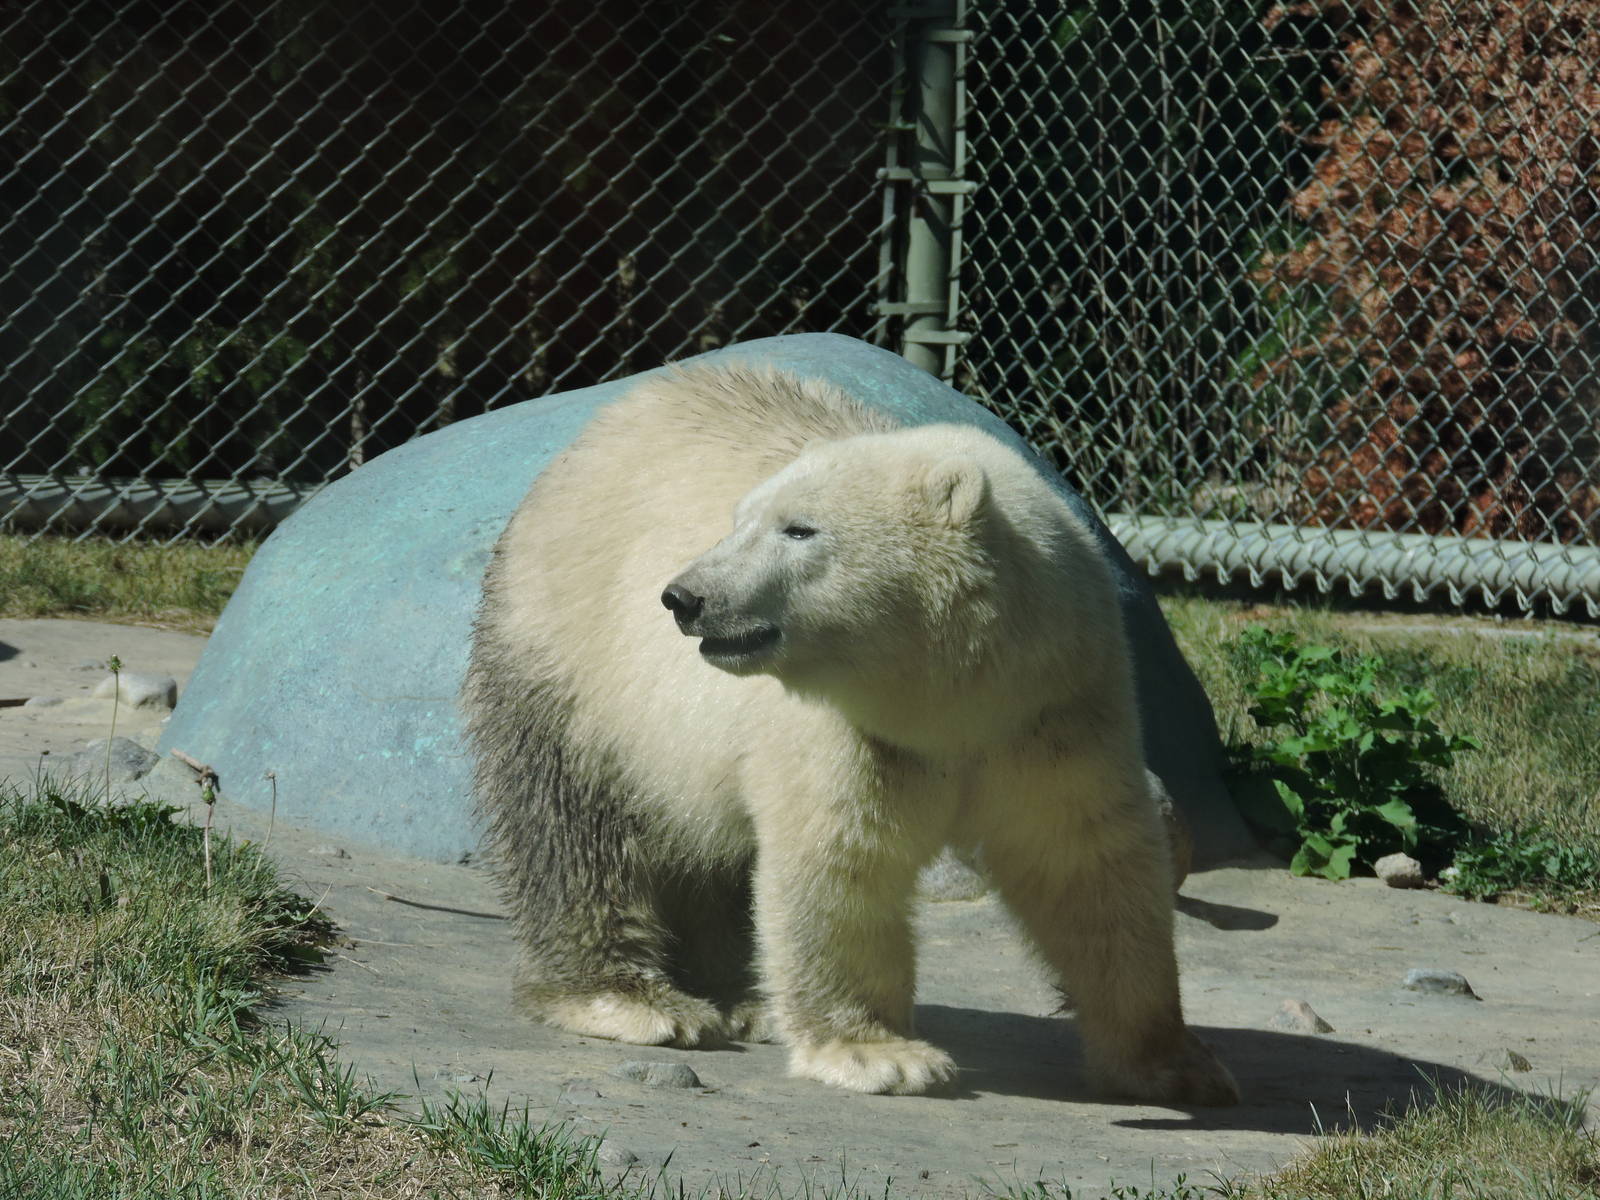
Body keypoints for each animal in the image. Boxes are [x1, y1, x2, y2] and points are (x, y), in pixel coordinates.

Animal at [463, 363, 1238, 1104]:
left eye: (799, 529)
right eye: (739, 521)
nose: (686, 597)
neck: (954, 698)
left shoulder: (1056, 711)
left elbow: (1088, 868)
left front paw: (1176, 1066)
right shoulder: (849, 727)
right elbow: (842, 863)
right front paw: (879, 1055)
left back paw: (744, 998)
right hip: (572, 659)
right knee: (572, 824)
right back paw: (631, 1000)